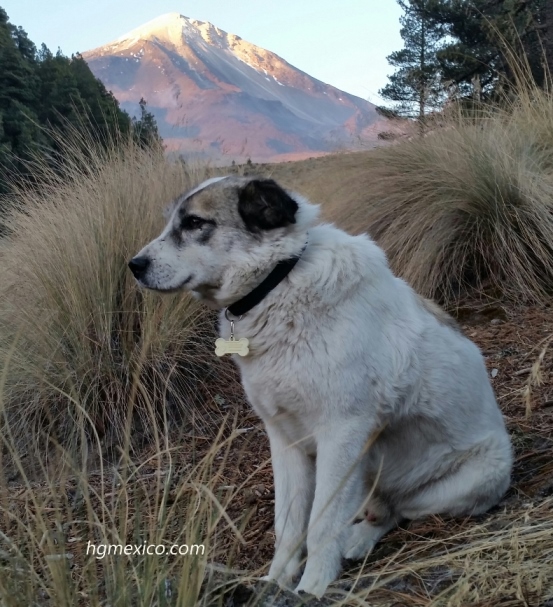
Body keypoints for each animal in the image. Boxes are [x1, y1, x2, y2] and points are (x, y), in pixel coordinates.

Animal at [128, 176, 508, 600]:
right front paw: (275, 582)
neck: (279, 284)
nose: (134, 266)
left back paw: (357, 540)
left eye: (195, 223)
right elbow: (290, 524)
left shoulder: (341, 435)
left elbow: (321, 525)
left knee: (396, 510)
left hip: (465, 480)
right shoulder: (285, 441)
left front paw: (311, 588)